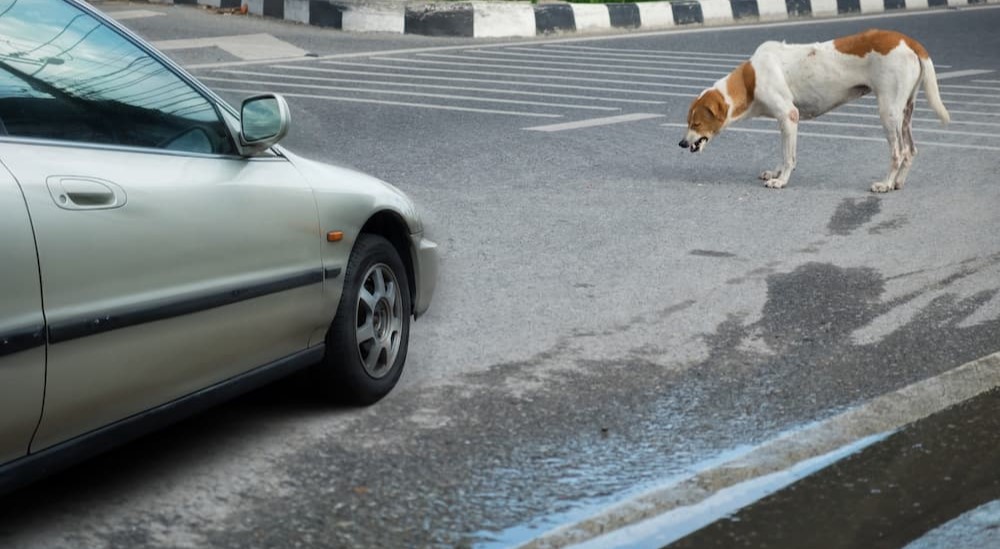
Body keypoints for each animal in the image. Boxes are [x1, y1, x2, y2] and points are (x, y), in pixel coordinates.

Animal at [680, 30, 952, 193]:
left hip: (888, 112)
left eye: (696, 124)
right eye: (689, 122)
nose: (681, 143)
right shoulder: (784, 122)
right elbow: (784, 153)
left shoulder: (789, 115)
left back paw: (885, 183)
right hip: (905, 112)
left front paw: (782, 180)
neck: (751, 79)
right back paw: (898, 182)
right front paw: (776, 172)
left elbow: (789, 157)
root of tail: (907, 40)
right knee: (911, 150)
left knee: (899, 151)